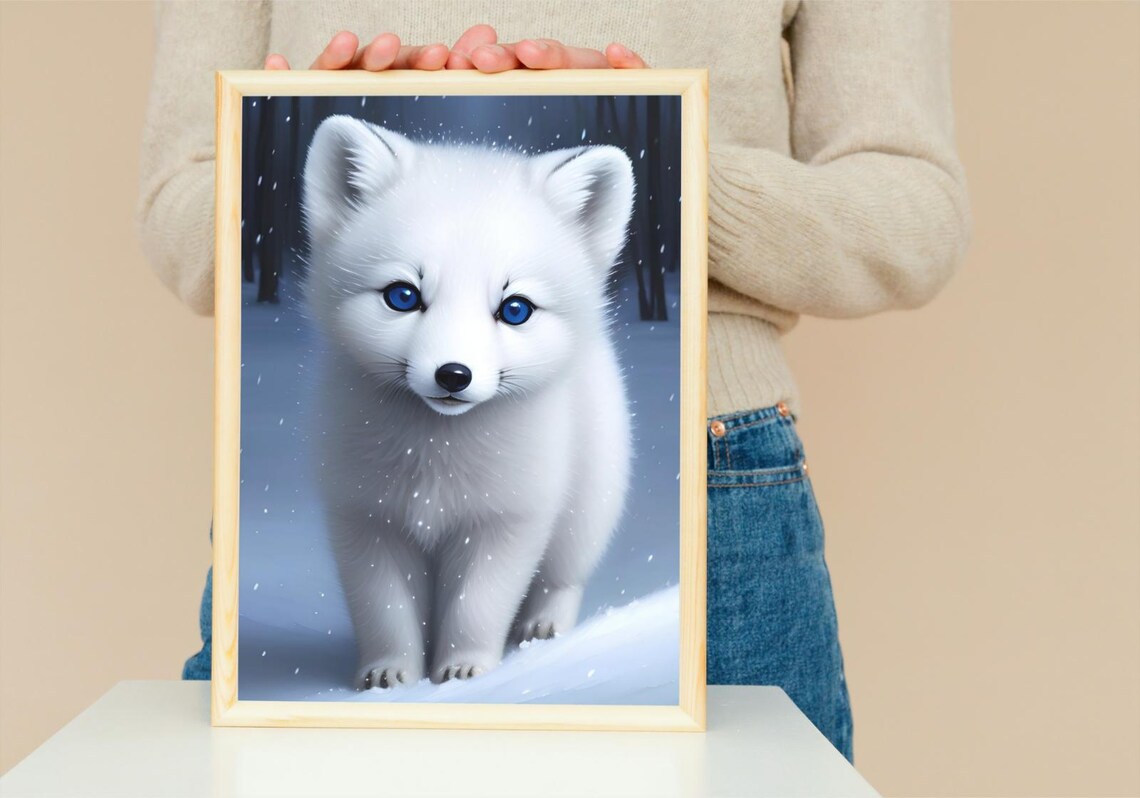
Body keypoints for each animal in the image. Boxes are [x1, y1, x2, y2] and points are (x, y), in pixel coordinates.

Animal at [300, 115, 635, 689]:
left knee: (562, 578)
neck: (435, 459)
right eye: (403, 296)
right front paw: (390, 677)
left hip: (586, 510)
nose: (453, 374)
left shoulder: (507, 518)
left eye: (515, 309)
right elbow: (384, 612)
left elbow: (478, 606)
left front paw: (465, 671)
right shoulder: (366, 516)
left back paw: (544, 628)